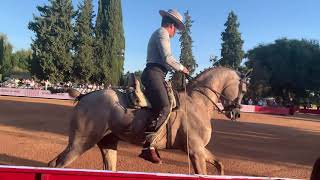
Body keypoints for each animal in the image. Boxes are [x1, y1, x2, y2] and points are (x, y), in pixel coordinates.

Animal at [47, 67, 249, 175]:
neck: (197, 102)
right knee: (55, 165)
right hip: (79, 144)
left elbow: (219, 163)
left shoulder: (198, 149)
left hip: (107, 144)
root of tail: (83, 96)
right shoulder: (196, 151)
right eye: (244, 90)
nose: (236, 113)